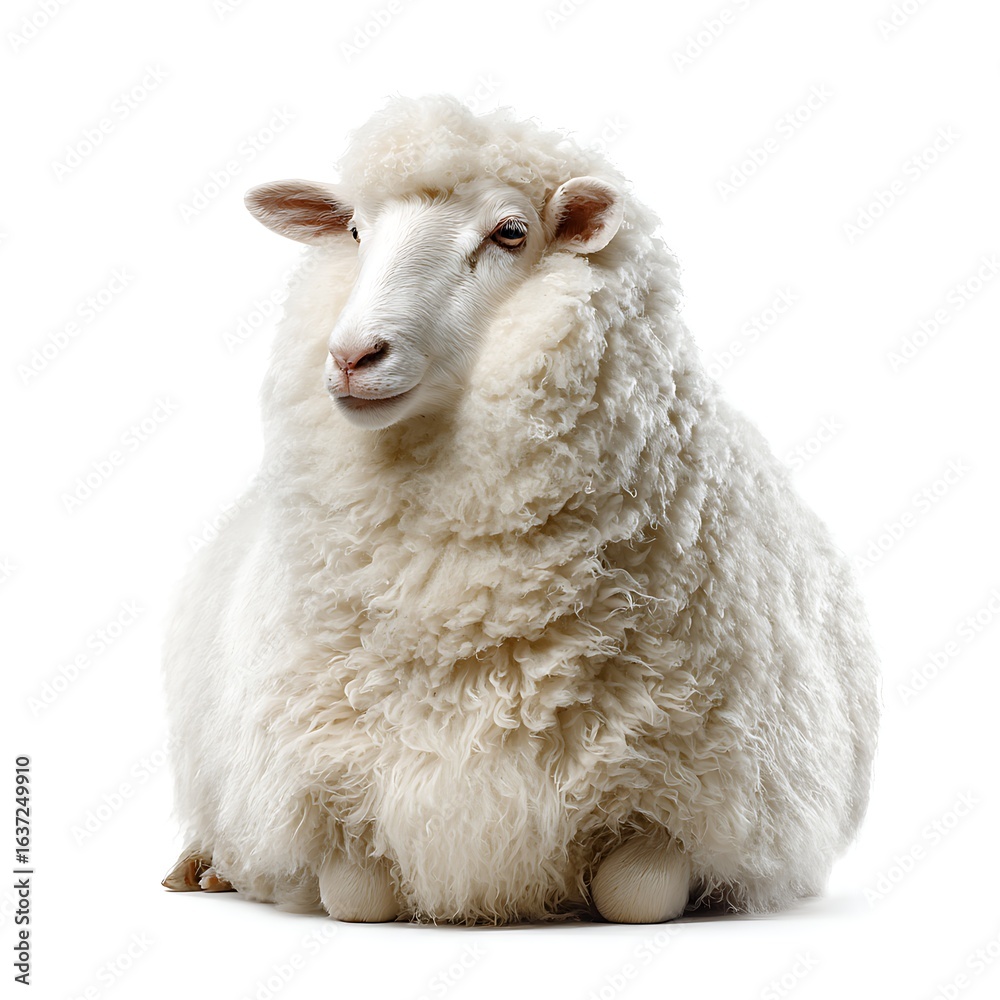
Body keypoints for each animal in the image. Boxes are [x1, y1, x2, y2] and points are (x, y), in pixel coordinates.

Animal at [161, 94, 880, 925]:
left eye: (510, 232)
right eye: (356, 232)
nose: (351, 357)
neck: (457, 604)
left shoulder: (708, 795)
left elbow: (636, 893)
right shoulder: (323, 788)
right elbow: (356, 890)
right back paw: (204, 865)